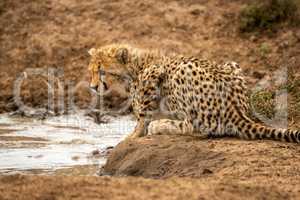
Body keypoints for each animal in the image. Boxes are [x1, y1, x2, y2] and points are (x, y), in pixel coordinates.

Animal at [88, 44, 300, 142]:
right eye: (91, 71)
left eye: (102, 71)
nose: (92, 86)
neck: (133, 66)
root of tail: (237, 110)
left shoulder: (154, 74)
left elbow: (142, 114)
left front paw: (133, 136)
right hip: (232, 64)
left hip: (182, 71)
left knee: (197, 127)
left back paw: (162, 125)